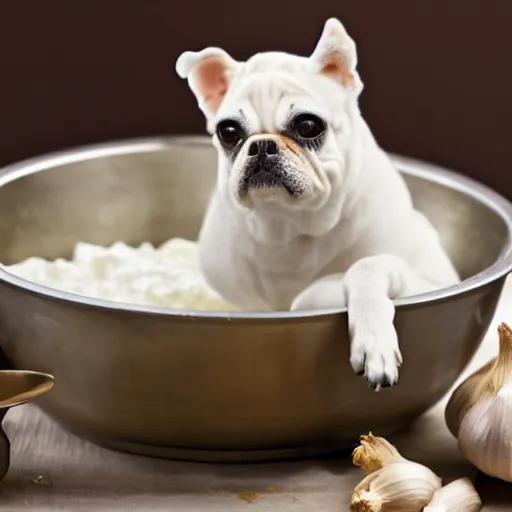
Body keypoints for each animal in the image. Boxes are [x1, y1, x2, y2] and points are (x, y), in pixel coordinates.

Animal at [177, 18, 460, 390]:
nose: (262, 145)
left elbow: (367, 265)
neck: (288, 225)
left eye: (308, 125)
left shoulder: (432, 282)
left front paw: (373, 340)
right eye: (228, 131)